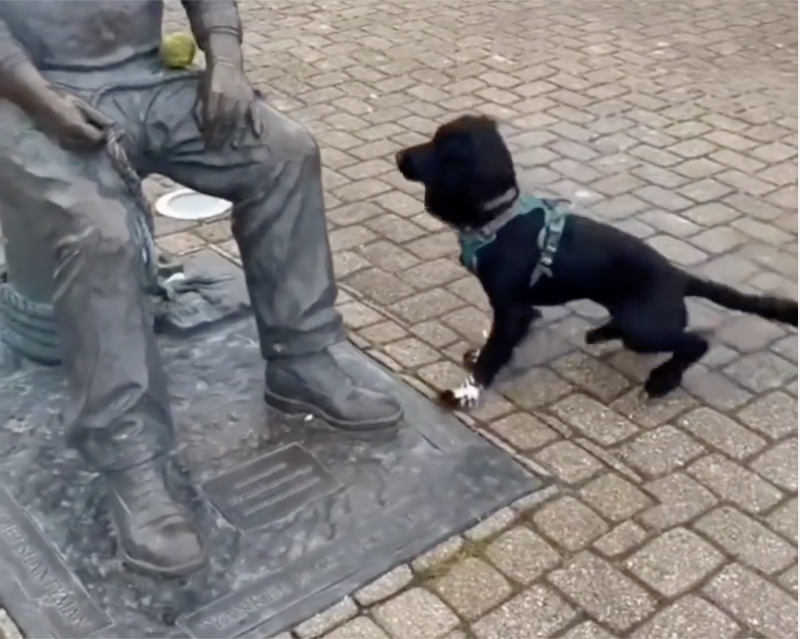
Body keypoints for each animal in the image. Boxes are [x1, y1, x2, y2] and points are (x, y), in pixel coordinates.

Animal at [395, 114, 798, 410]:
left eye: (442, 148)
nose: (399, 156)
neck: (500, 221)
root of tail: (678, 276)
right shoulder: (521, 311)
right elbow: (497, 345)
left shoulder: (511, 308)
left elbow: (491, 356)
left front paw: (465, 393)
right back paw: (604, 332)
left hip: (644, 327)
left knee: (694, 342)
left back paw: (662, 380)